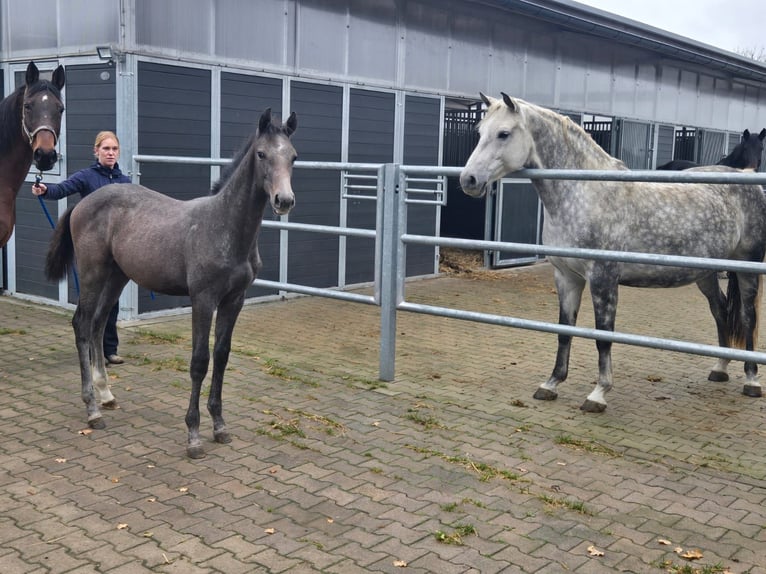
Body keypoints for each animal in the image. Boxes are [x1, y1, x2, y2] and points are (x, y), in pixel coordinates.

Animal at [43, 107, 298, 460]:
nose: (283, 200)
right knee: (81, 324)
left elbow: (222, 356)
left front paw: (220, 426)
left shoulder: (234, 299)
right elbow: (199, 362)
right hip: (93, 274)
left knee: (97, 324)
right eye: (261, 154)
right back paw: (92, 410)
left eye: (293, 157)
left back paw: (107, 395)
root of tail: (84, 202)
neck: (225, 227)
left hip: (117, 277)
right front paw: (193, 436)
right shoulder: (203, 299)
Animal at [460, 95, 766, 414]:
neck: (587, 194)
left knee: (747, 316)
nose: (468, 180)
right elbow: (564, 330)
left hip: (747, 266)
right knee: (720, 309)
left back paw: (751, 380)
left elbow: (603, 336)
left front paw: (598, 394)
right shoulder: (566, 277)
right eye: (481, 131)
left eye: (504, 133)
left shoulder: (603, 278)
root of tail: (748, 178)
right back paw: (720, 368)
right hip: (705, 273)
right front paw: (551, 383)